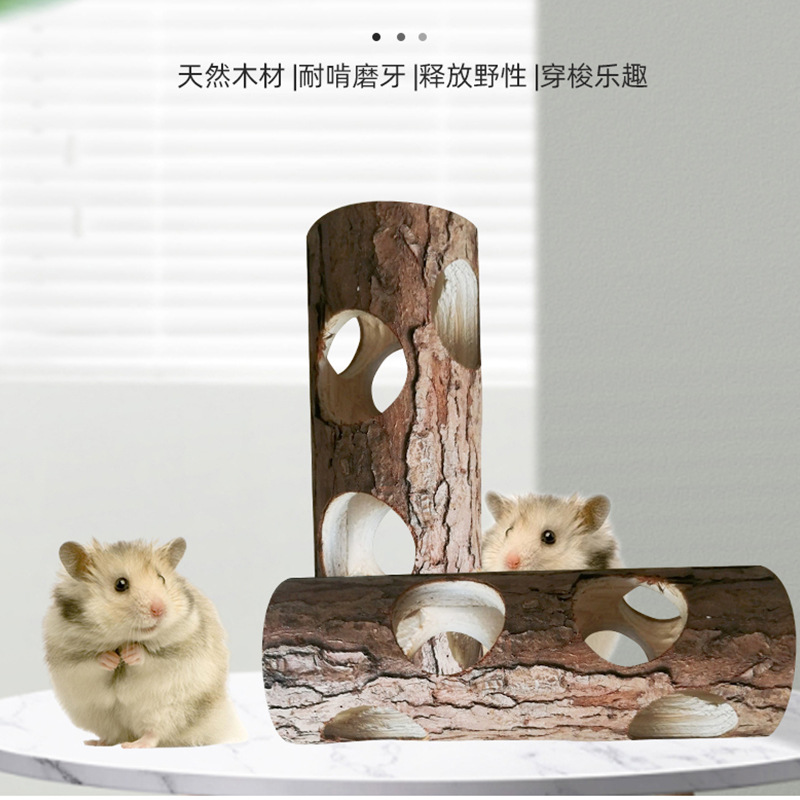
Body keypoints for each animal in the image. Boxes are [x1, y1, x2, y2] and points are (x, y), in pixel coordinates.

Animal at [43, 537, 246, 748]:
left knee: (154, 733)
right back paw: (95, 742)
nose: (159, 610)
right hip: (98, 716)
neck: (122, 638)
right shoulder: (69, 657)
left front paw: (129, 654)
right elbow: (92, 661)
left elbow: (149, 657)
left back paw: (133, 745)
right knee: (113, 735)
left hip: (169, 710)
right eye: (120, 584)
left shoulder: (179, 648)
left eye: (162, 578)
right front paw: (112, 659)